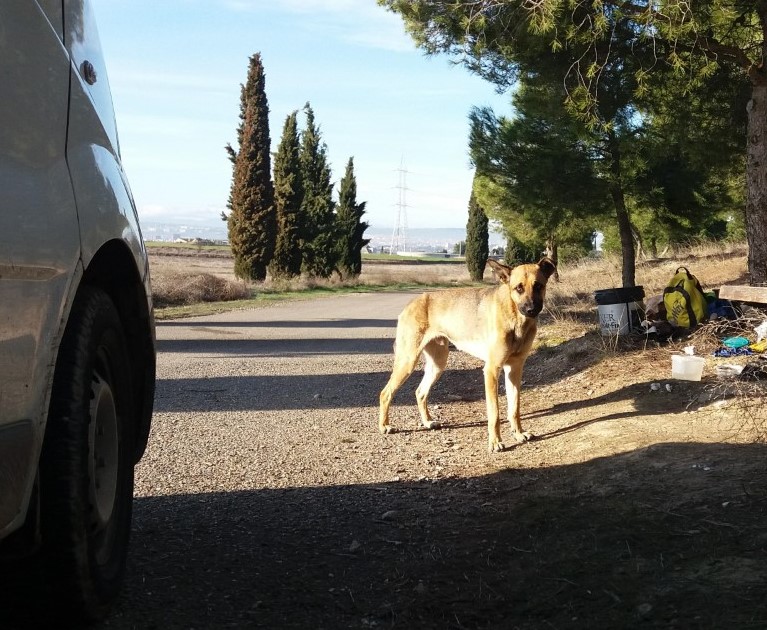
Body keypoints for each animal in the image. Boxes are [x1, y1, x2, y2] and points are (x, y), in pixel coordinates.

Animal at [380, 258, 556, 454]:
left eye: (538, 285)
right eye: (518, 288)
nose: (531, 309)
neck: (515, 318)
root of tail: (411, 303)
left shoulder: (515, 369)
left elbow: (514, 408)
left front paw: (518, 433)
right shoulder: (491, 370)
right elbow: (494, 413)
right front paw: (495, 442)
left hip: (437, 364)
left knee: (420, 392)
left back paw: (427, 422)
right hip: (408, 360)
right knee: (385, 393)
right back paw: (384, 426)